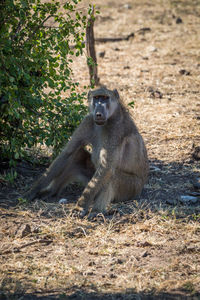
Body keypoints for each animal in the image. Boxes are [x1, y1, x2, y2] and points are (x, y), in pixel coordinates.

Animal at [25, 86, 148, 216]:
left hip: (131, 188)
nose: (98, 113)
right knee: (76, 156)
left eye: (105, 98)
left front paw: (80, 207)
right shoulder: (88, 120)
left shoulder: (116, 130)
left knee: (112, 176)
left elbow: (107, 167)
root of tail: (140, 189)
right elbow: (67, 153)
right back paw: (51, 192)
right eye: (97, 98)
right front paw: (32, 191)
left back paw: (97, 212)